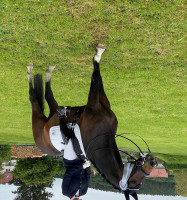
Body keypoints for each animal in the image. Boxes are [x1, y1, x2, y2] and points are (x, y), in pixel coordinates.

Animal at [27, 44, 157, 199]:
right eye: (135, 181)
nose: (154, 162)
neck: (99, 138)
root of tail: (40, 145)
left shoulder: (100, 104)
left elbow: (97, 78)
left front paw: (98, 53)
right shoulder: (94, 103)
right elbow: (96, 76)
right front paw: (98, 53)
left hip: (52, 115)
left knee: (47, 96)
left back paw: (47, 72)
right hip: (37, 120)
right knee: (33, 98)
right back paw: (31, 71)